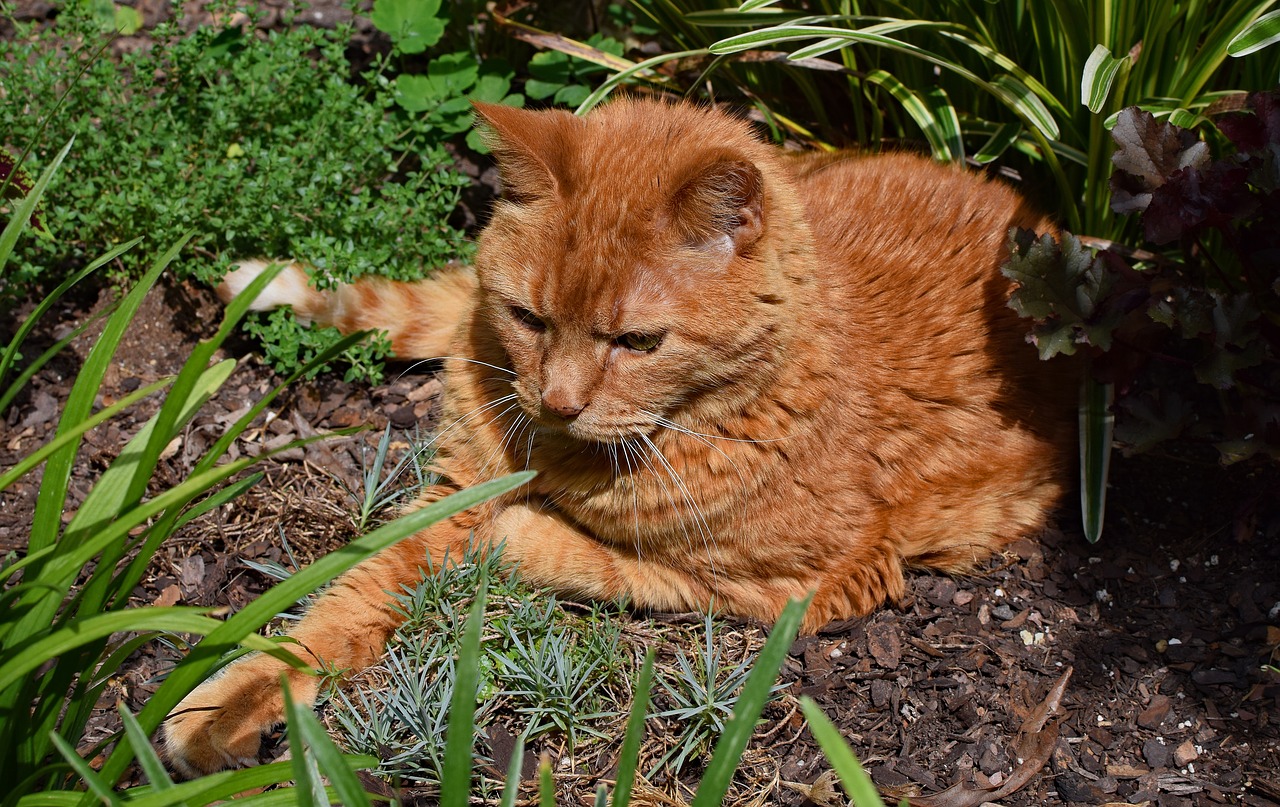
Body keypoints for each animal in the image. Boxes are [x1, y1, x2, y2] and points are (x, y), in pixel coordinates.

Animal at [162, 99, 1080, 778]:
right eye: (531, 317)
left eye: (637, 342)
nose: (557, 399)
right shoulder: (454, 480)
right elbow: (345, 597)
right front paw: (228, 701)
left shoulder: (806, 585)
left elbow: (591, 558)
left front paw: (512, 534)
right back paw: (269, 289)